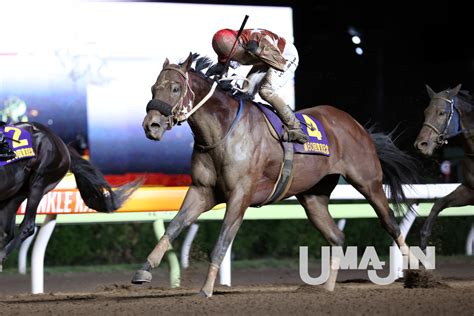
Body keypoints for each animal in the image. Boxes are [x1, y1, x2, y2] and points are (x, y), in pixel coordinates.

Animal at [0, 121, 141, 270]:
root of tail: (60, 142)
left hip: (39, 182)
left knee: (27, 226)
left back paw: (2, 255)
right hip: (14, 194)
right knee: (7, 231)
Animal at [135, 53, 420, 296]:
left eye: (175, 88)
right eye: (153, 88)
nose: (152, 125)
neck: (223, 131)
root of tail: (356, 125)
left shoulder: (239, 196)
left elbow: (222, 241)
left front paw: (206, 289)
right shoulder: (202, 191)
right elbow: (174, 225)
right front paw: (144, 270)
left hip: (368, 182)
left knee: (391, 225)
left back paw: (417, 273)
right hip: (313, 197)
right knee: (336, 236)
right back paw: (327, 288)